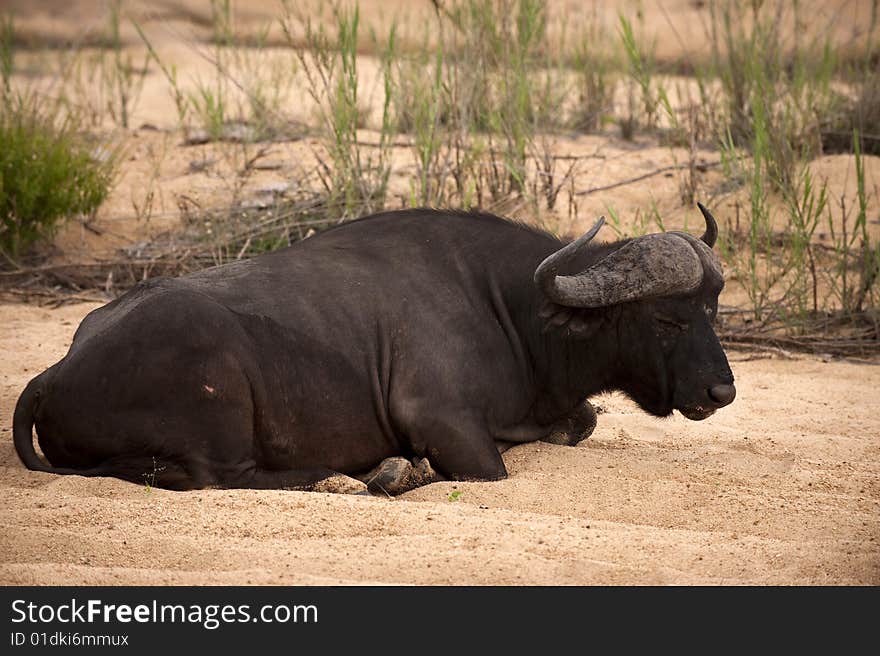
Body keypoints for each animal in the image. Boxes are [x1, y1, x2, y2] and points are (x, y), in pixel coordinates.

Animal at [13, 205, 736, 492]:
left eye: (711, 309)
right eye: (666, 319)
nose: (722, 390)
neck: (509, 310)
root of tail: (54, 374)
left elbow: (580, 422)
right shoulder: (442, 422)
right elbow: (491, 470)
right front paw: (402, 470)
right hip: (223, 408)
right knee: (228, 477)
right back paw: (373, 474)